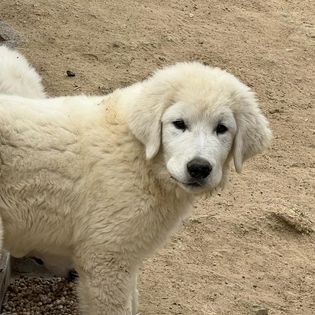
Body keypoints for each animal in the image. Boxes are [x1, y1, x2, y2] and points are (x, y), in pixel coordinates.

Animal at [0, 47, 272, 315]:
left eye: (222, 128)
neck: (143, 157)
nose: (198, 168)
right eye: (179, 124)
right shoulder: (106, 257)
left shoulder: (124, 256)